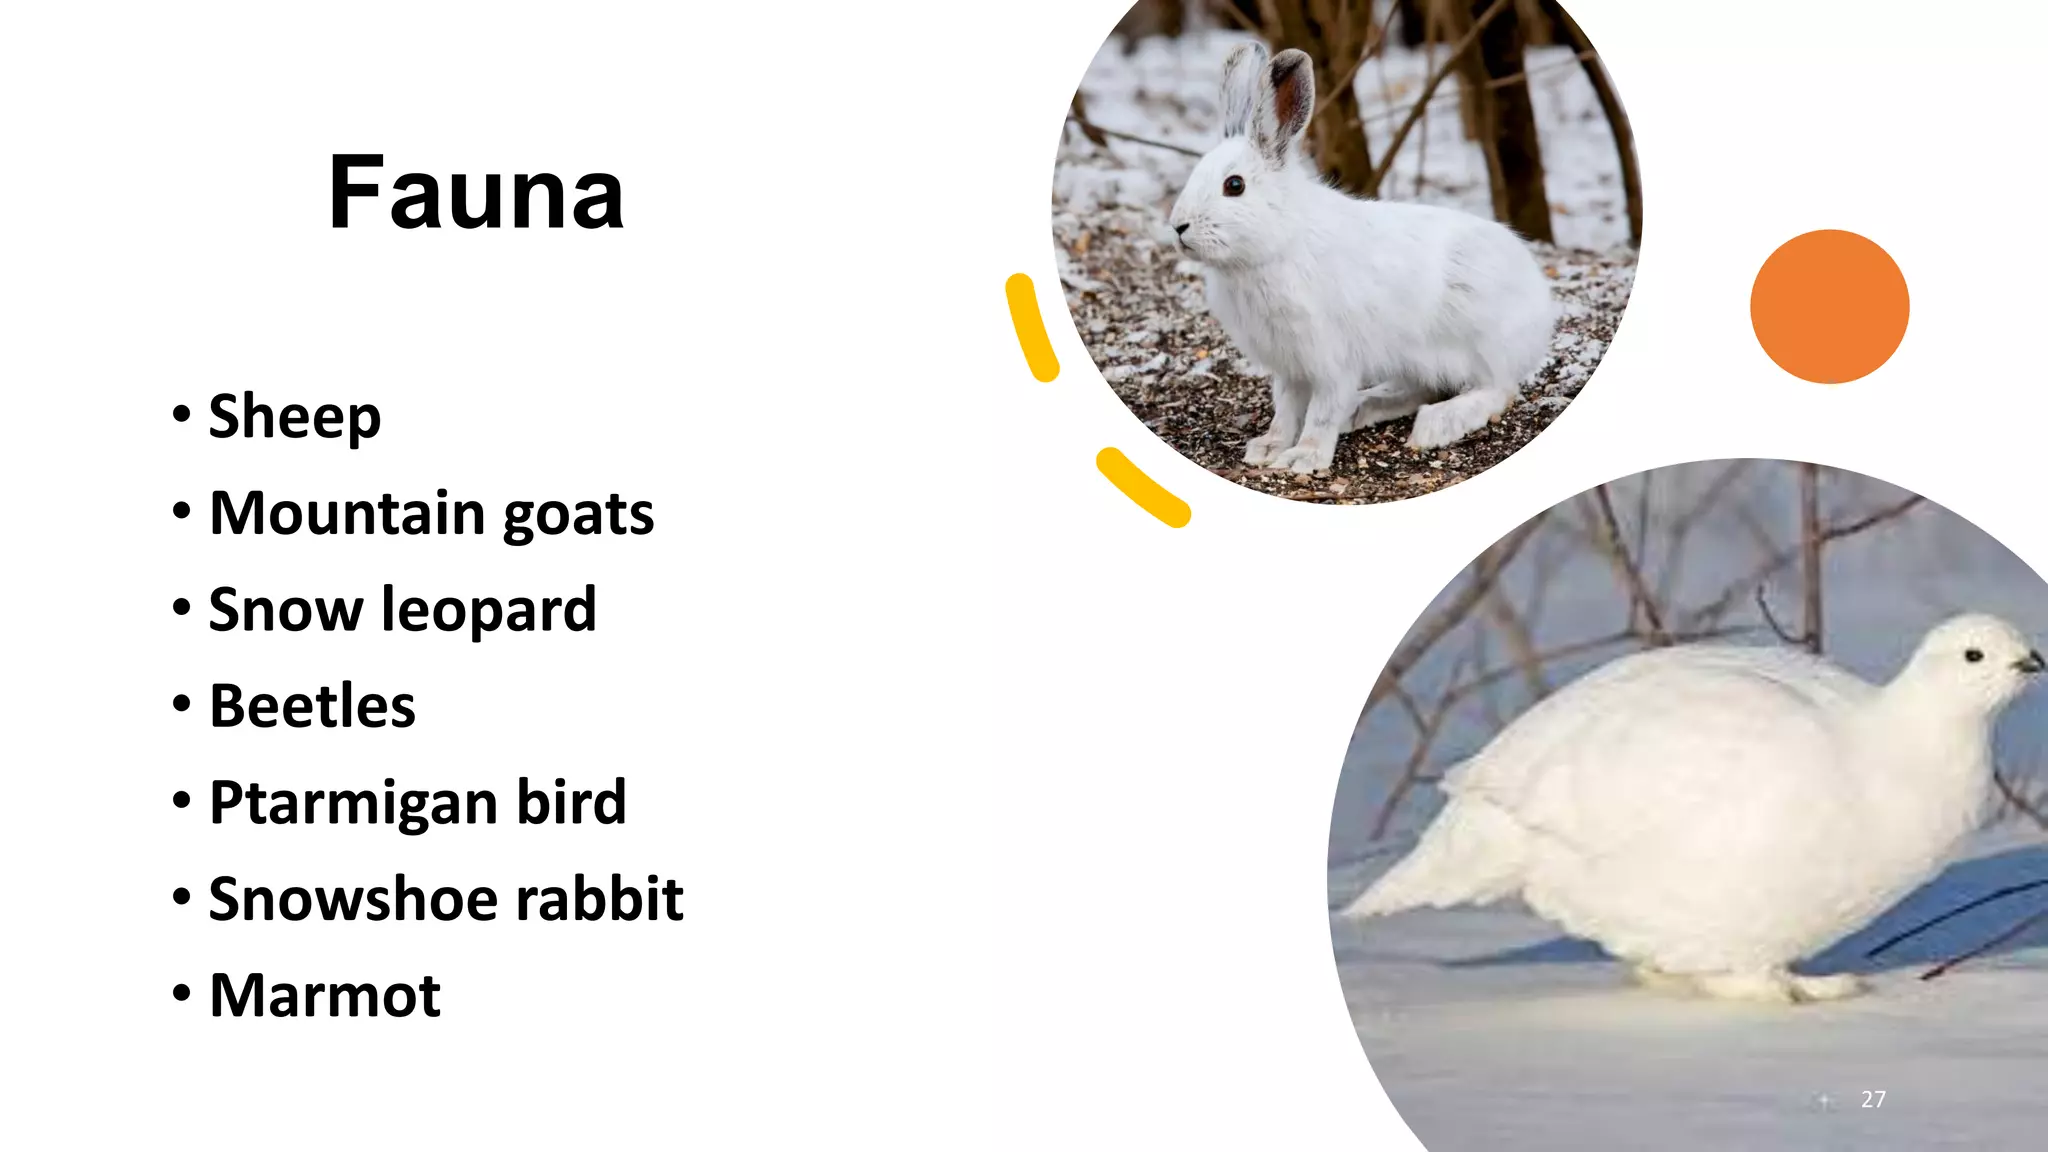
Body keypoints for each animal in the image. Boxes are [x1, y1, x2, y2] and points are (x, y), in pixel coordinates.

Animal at [1167, 44, 1558, 474]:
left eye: (1234, 185)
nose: (1178, 226)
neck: (1280, 240)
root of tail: (1541, 311)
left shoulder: (1330, 359)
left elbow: (1321, 411)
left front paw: (1304, 457)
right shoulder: (1289, 367)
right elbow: (1285, 409)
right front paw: (1268, 449)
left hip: (1478, 344)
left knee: (1497, 389)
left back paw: (1434, 425)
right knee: (1424, 388)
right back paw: (1363, 409)